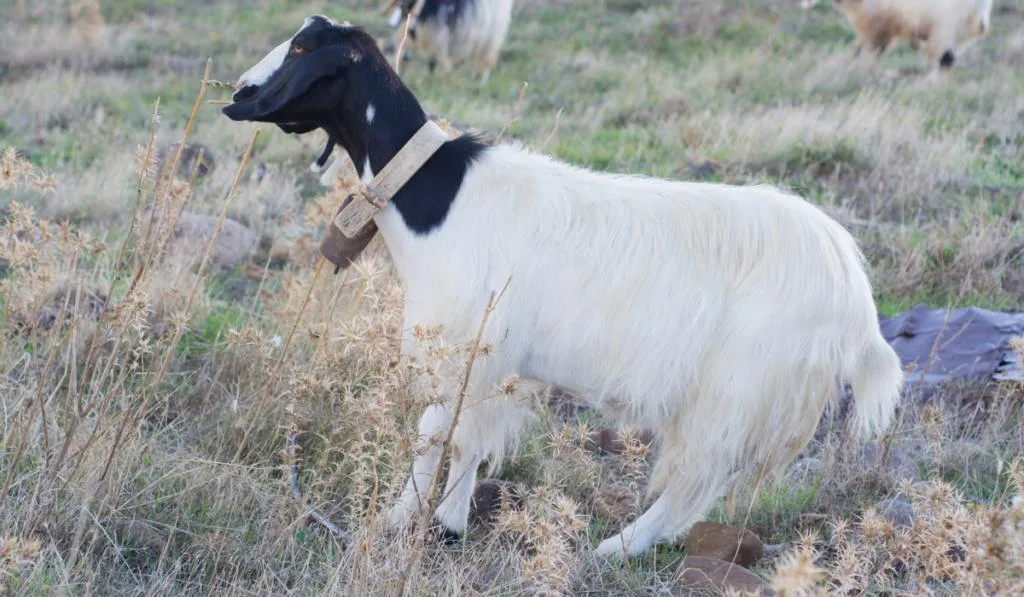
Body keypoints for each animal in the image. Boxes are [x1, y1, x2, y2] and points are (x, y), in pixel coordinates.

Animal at [224, 15, 905, 561]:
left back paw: (617, 549)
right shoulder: (495, 360)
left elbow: (437, 434)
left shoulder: (464, 342)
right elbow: (471, 441)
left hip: (736, 388)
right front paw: (448, 526)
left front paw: (399, 521)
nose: (237, 95)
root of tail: (855, 296)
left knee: (698, 476)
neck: (436, 197)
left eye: (302, 47)